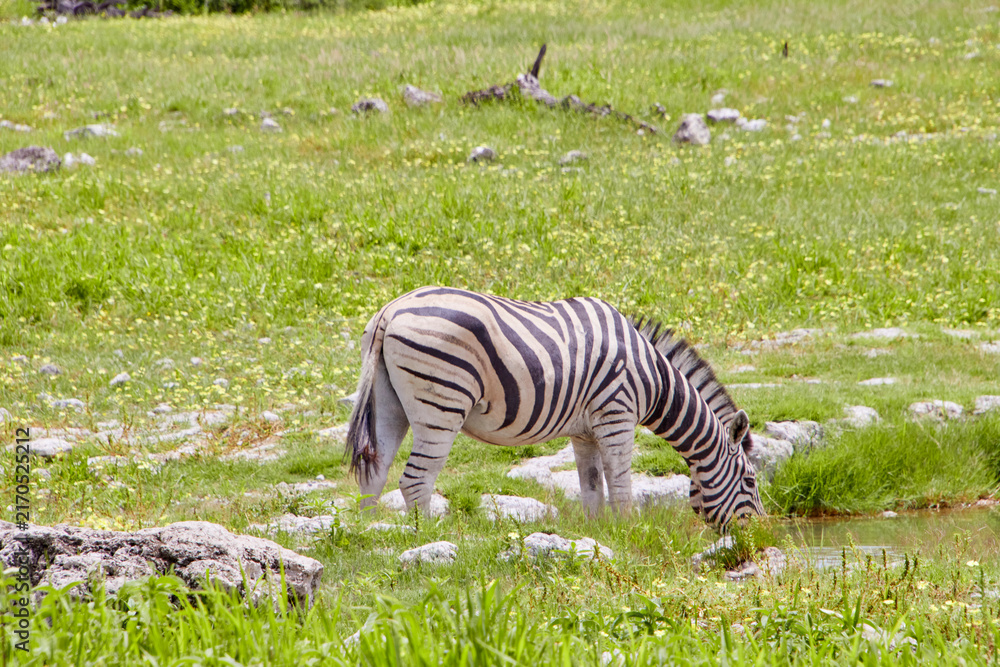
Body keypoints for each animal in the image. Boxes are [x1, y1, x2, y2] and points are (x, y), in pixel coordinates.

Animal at [346, 286, 764, 529]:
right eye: (750, 481)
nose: (761, 529)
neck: (654, 378)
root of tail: (391, 310)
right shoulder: (617, 415)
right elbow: (620, 481)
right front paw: (629, 531)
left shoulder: (586, 432)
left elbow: (592, 485)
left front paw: (598, 532)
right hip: (442, 402)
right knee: (415, 479)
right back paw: (430, 538)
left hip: (389, 402)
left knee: (375, 471)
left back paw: (373, 535)